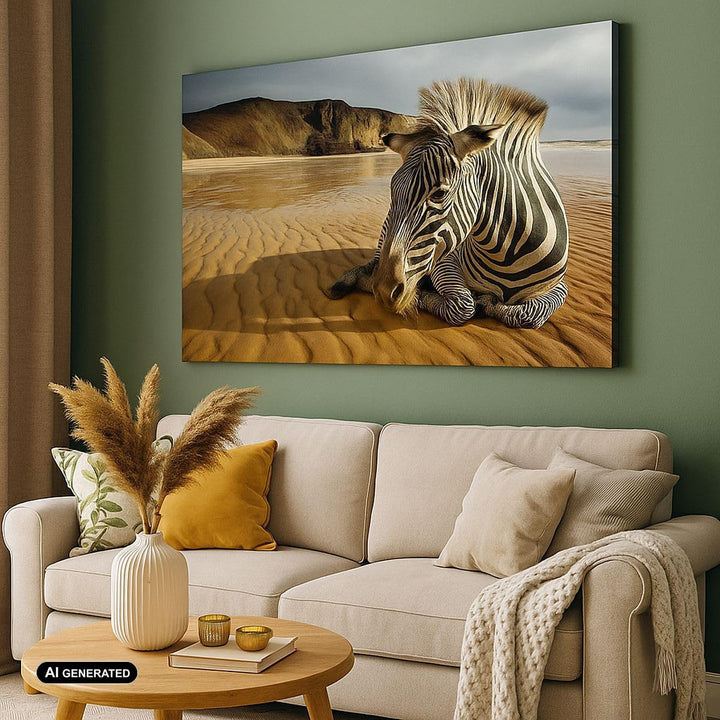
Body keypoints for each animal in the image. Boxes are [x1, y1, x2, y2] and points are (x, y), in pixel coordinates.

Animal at [327, 78, 569, 329]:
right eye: (392, 190)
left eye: (439, 194)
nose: (384, 292)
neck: (506, 256)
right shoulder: (443, 261)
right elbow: (463, 306)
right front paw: (427, 294)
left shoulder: (559, 287)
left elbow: (530, 314)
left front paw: (491, 303)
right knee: (373, 264)